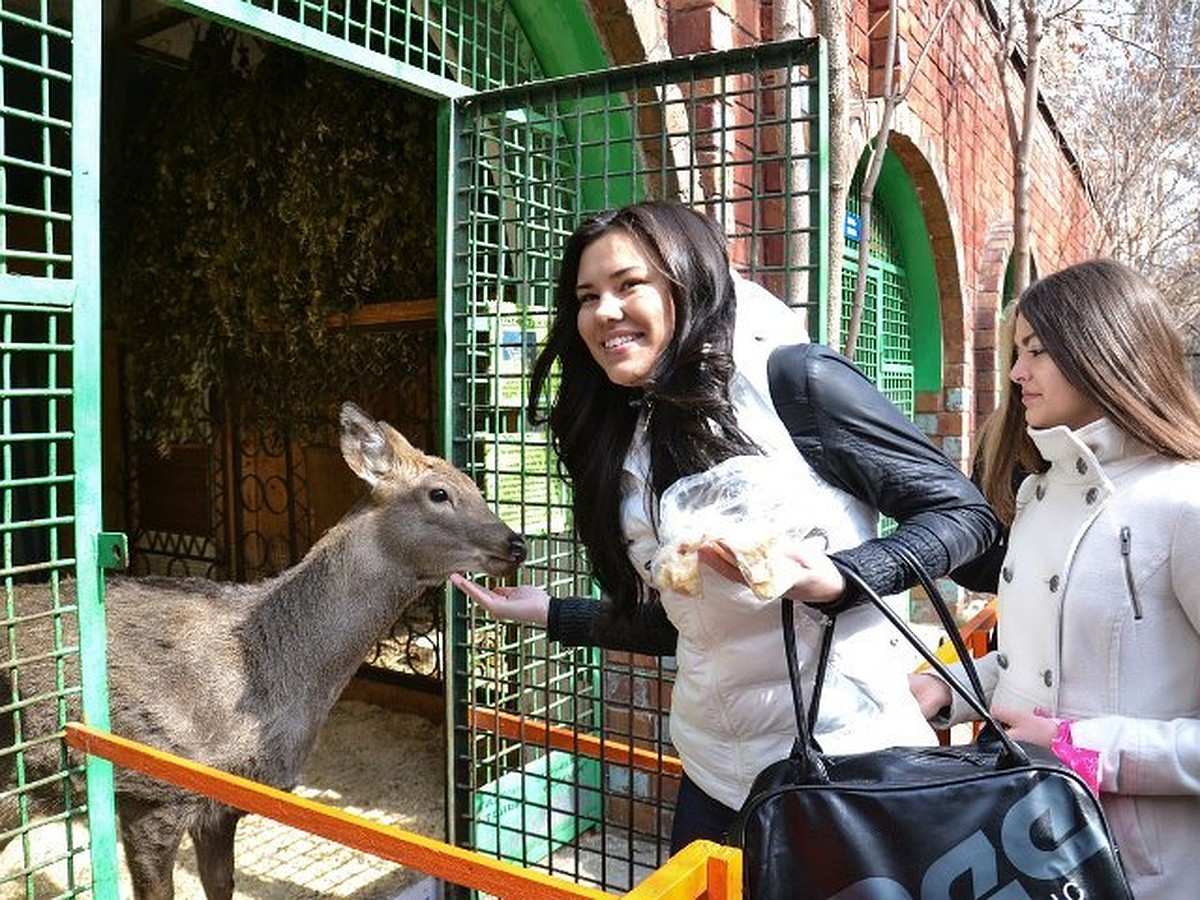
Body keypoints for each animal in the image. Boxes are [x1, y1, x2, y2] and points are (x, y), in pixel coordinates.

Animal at [0, 403, 525, 900]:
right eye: (439, 493)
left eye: (474, 484)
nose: (516, 543)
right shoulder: (152, 789)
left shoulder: (224, 805)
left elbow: (222, 886)